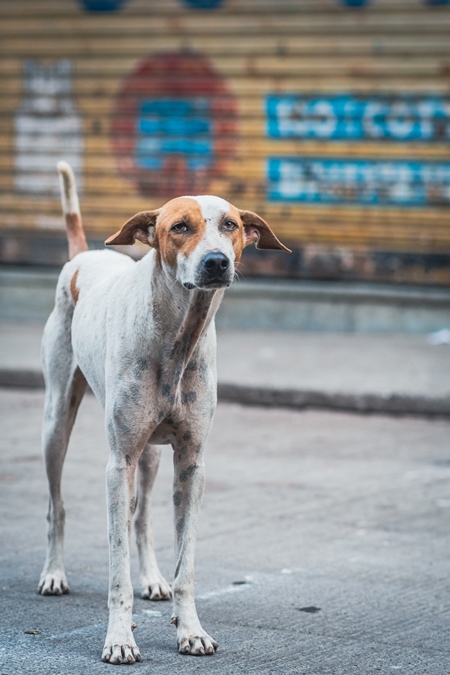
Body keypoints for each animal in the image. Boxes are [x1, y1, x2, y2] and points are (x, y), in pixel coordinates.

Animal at [39, 162, 292, 664]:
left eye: (230, 225)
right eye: (180, 227)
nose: (217, 262)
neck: (177, 334)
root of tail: (80, 258)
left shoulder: (191, 462)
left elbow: (185, 562)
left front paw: (189, 628)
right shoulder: (118, 464)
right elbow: (116, 569)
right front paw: (119, 638)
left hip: (152, 454)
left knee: (141, 519)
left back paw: (153, 579)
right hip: (57, 423)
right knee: (58, 505)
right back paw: (54, 573)